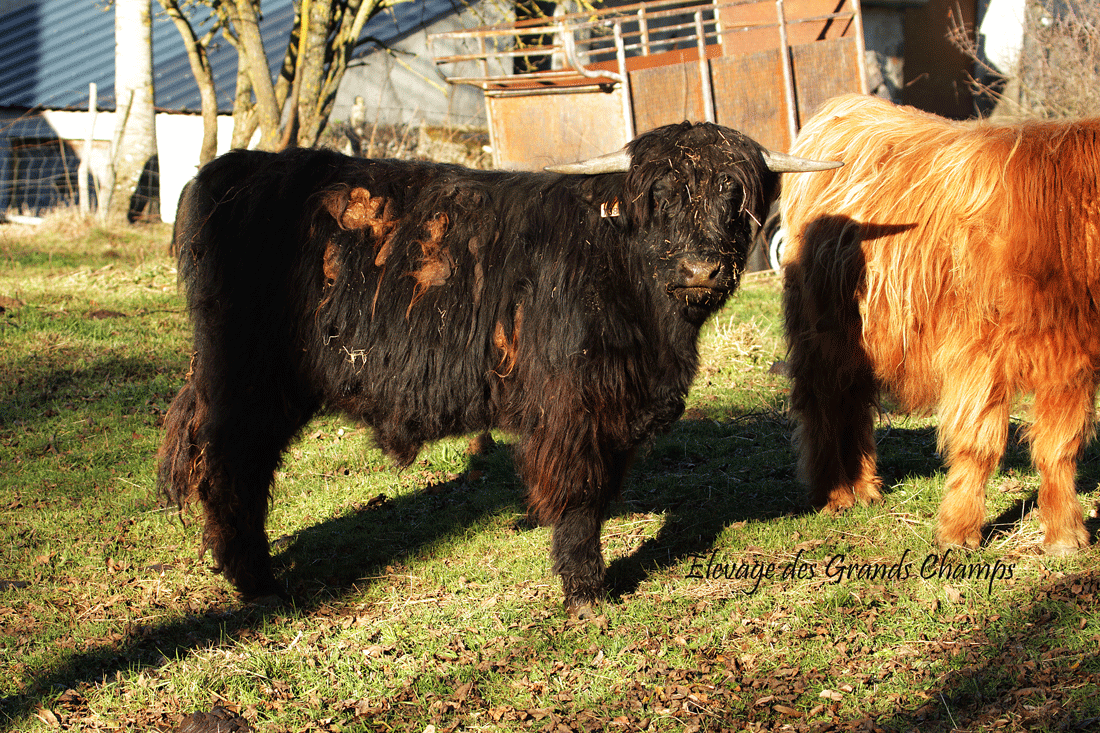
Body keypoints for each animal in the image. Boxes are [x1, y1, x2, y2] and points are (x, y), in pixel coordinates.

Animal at [159, 122, 836, 611]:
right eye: (660, 198)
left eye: (733, 195)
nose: (700, 268)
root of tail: (228, 171)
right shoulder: (570, 408)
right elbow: (578, 496)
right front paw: (586, 591)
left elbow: (602, 488)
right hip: (246, 379)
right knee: (230, 466)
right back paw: (257, 582)